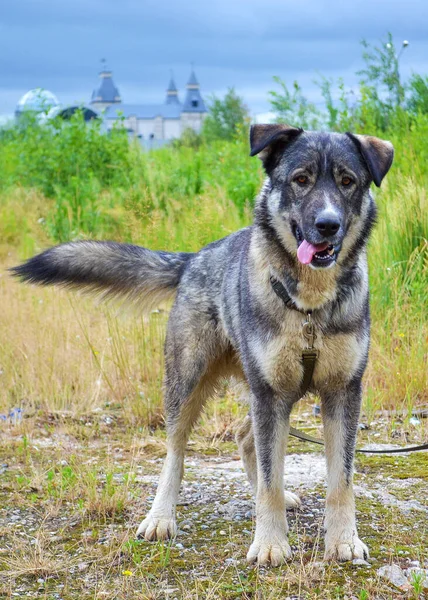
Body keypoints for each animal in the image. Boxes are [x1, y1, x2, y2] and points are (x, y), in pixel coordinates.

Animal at [11, 125, 394, 568]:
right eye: (301, 179)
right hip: (190, 383)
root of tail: (194, 259)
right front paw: (270, 542)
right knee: (176, 453)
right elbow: (270, 476)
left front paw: (343, 540)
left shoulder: (341, 393)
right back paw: (160, 517)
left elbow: (340, 481)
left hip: (267, 391)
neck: (310, 309)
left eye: (348, 182)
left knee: (246, 439)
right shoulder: (270, 395)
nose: (327, 224)